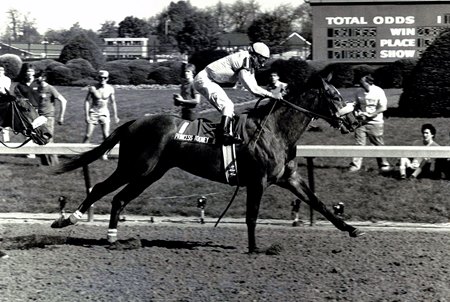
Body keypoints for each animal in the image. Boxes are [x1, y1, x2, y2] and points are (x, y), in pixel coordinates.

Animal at [51, 75, 362, 252]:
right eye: (335, 96)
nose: (354, 121)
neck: (275, 129)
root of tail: (134, 122)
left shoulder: (289, 178)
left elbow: (318, 202)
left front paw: (350, 228)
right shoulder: (258, 181)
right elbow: (251, 216)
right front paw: (254, 248)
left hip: (151, 173)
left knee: (119, 199)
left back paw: (113, 238)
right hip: (135, 167)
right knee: (100, 189)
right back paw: (67, 219)